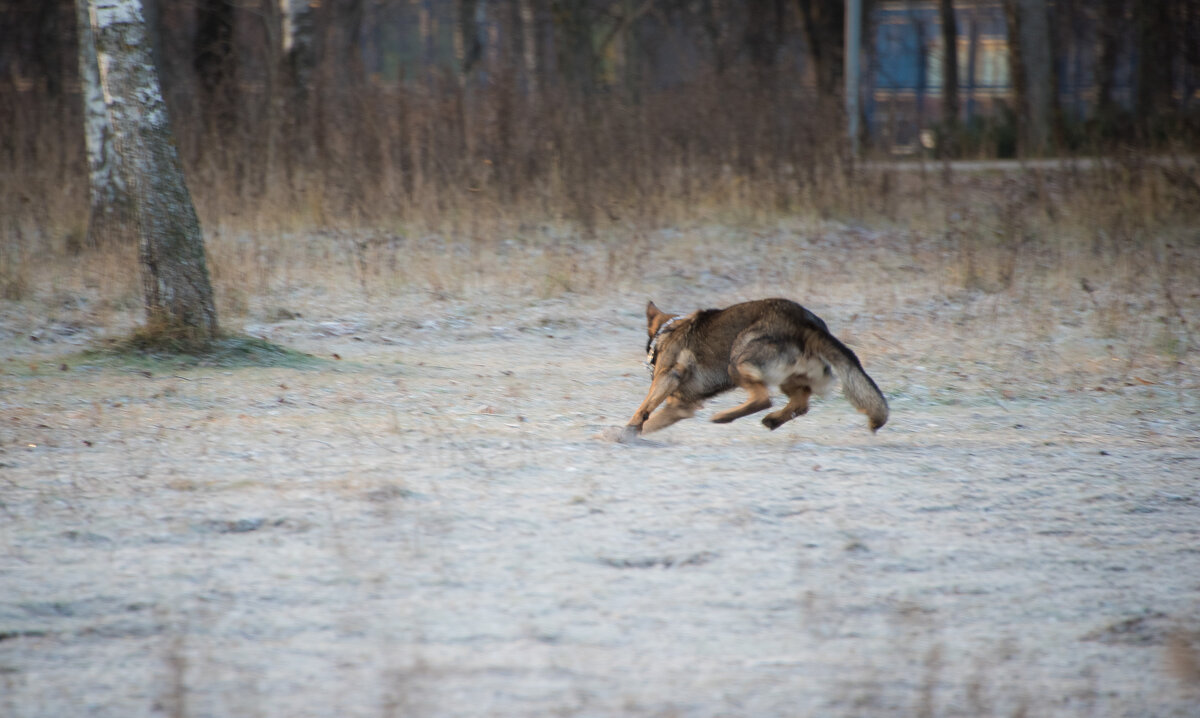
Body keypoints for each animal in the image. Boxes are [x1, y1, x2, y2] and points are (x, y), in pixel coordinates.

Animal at [624, 297, 888, 439]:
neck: (666, 331)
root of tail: (805, 323)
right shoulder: (679, 406)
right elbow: (650, 422)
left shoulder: (667, 377)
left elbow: (643, 409)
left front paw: (627, 429)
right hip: (788, 378)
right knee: (800, 404)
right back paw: (772, 420)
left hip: (738, 360)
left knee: (763, 399)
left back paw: (725, 416)